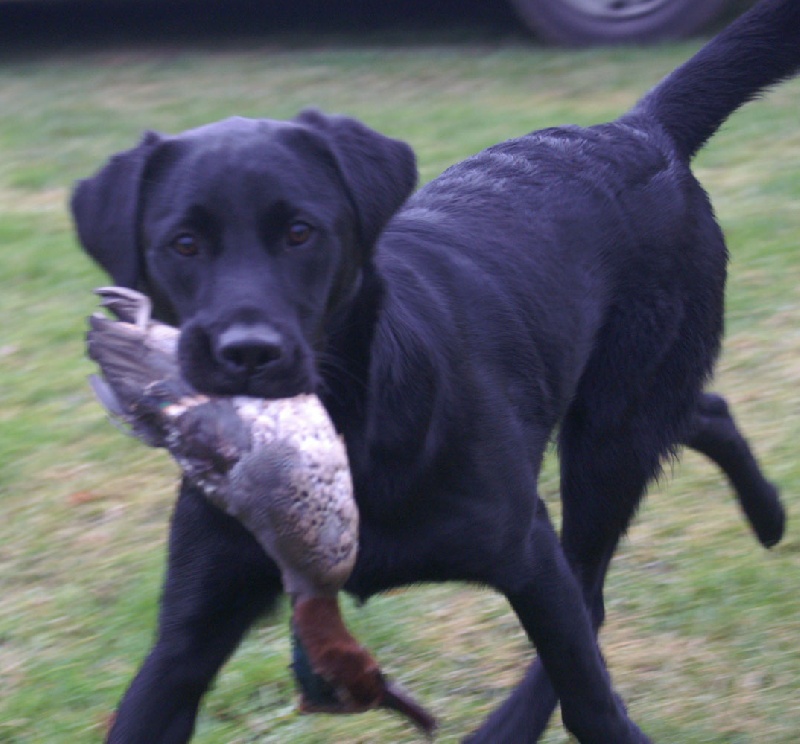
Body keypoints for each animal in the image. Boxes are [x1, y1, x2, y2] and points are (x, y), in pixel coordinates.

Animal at [72, 2, 796, 740]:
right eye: (183, 244)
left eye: (301, 232)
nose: (247, 353)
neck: (352, 433)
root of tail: (639, 128)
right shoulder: (189, 634)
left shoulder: (528, 553)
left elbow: (589, 690)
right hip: (626, 408)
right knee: (702, 413)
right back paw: (768, 516)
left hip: (609, 438)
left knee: (594, 586)